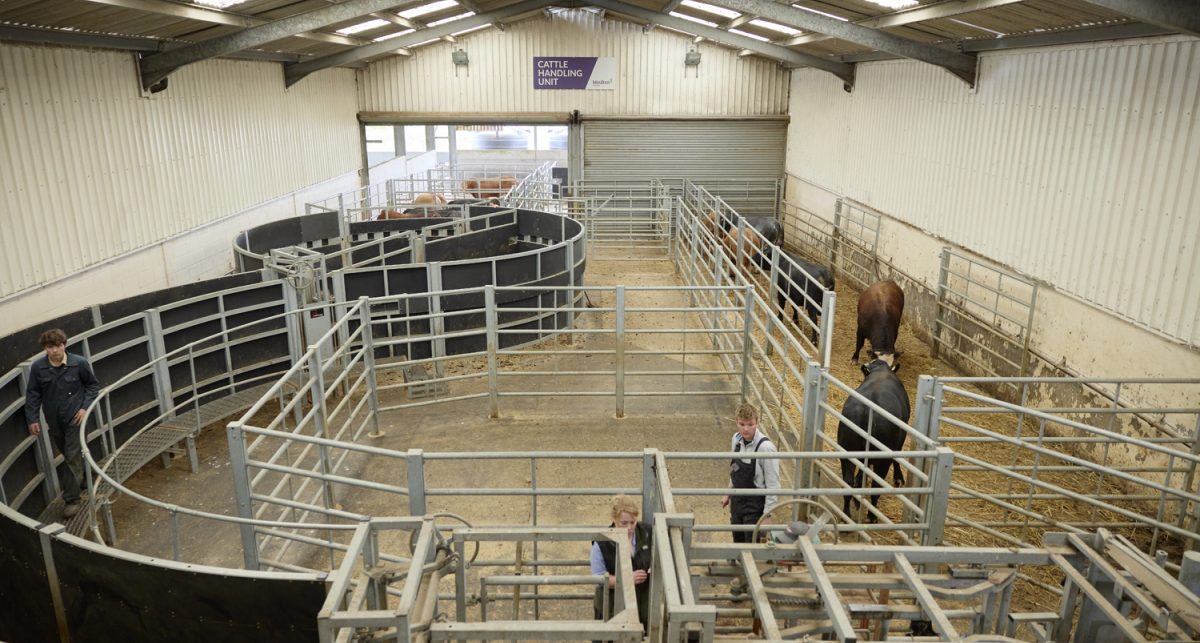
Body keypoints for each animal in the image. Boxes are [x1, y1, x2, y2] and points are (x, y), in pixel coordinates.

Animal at [835, 357, 907, 523]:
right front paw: (899, 478)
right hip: (882, 460)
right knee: (876, 487)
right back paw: (872, 516)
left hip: (847, 451)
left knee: (848, 481)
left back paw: (846, 515)